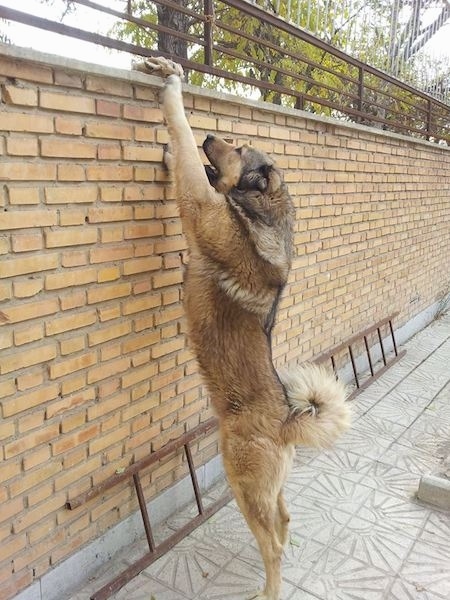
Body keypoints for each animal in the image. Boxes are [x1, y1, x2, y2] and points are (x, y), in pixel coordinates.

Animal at [139, 57, 350, 600]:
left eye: (237, 148)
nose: (215, 133)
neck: (257, 212)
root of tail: (286, 420)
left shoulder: (198, 203)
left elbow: (186, 149)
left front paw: (172, 89)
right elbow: (189, 160)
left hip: (241, 479)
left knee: (272, 542)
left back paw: (269, 589)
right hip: (266, 487)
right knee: (285, 519)